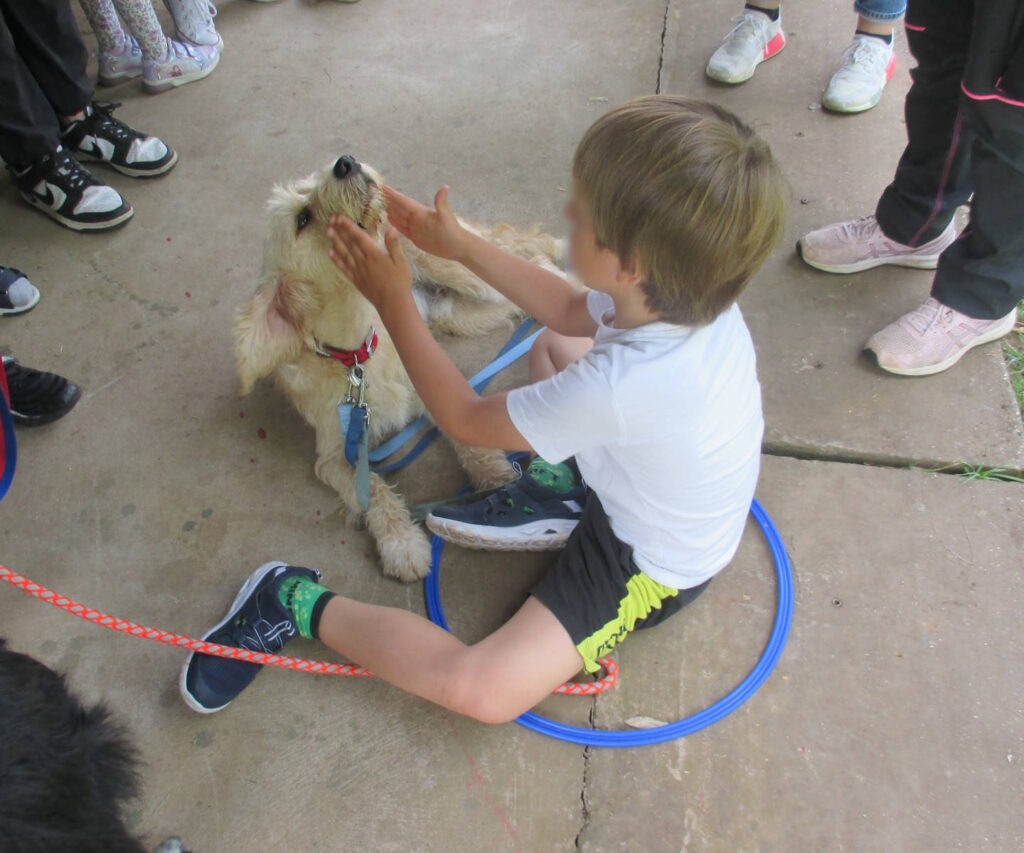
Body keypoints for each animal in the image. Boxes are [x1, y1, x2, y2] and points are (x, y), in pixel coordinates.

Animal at [233, 154, 561, 577]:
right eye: (302, 219)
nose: (346, 162)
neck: (358, 355)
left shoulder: (426, 387)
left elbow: (469, 439)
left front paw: (495, 476)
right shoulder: (334, 456)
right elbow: (373, 489)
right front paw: (401, 543)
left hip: (469, 275)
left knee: (532, 262)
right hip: (460, 314)